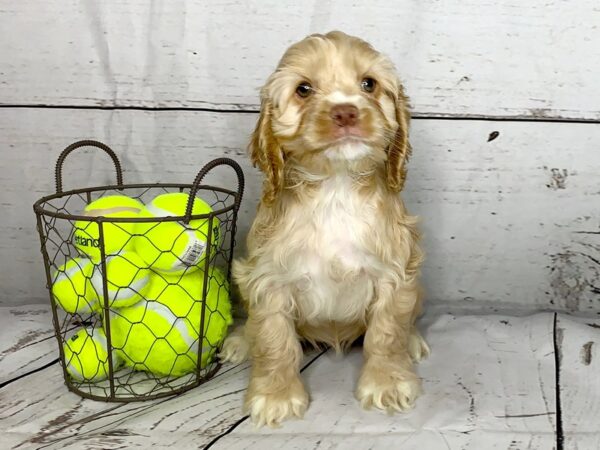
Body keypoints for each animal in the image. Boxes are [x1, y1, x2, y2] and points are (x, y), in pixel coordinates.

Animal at [223, 30, 428, 426]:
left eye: (369, 84)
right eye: (303, 89)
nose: (345, 111)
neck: (336, 187)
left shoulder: (395, 272)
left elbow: (387, 333)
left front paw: (387, 383)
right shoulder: (267, 278)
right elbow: (273, 338)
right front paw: (275, 395)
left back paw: (412, 340)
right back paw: (241, 340)